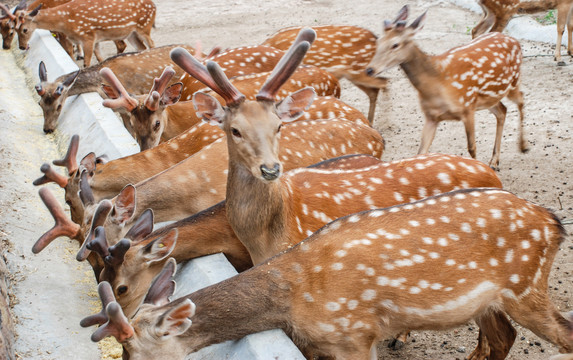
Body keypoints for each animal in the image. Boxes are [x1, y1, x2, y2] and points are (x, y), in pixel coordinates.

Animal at [16, 0, 155, 67]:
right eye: (15, 28)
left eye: (24, 30)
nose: (21, 47)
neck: (65, 22)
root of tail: (154, 6)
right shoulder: (95, 40)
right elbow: (100, 60)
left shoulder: (87, 36)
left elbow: (86, 63)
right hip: (132, 34)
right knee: (142, 48)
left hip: (144, 27)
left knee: (152, 45)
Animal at [85, 188, 572, 360]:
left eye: (134, 353)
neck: (293, 298)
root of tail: (553, 222)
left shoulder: (354, 333)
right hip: (493, 299)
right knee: (505, 337)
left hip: (526, 285)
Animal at [366, 5, 528, 169]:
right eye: (378, 41)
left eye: (395, 44)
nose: (370, 69)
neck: (437, 84)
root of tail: (515, 41)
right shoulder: (431, 116)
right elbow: (421, 151)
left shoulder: (467, 108)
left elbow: (472, 147)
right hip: (488, 98)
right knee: (502, 110)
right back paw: (494, 160)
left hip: (513, 82)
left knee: (521, 99)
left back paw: (523, 146)